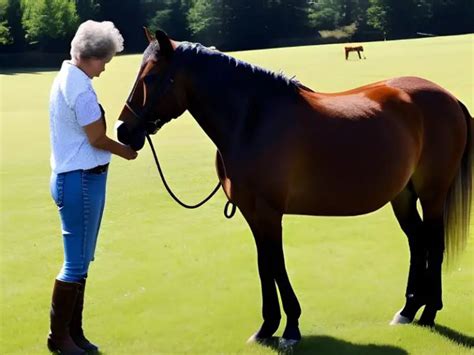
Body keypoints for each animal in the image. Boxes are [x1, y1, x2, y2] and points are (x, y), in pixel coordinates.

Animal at [116, 29, 472, 350]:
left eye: (150, 78)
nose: (122, 131)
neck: (252, 121)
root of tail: (448, 96)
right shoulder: (252, 213)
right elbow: (264, 264)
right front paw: (266, 327)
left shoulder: (270, 212)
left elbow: (276, 263)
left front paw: (289, 329)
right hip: (403, 195)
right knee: (417, 242)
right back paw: (409, 309)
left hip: (432, 193)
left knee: (434, 244)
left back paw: (429, 311)